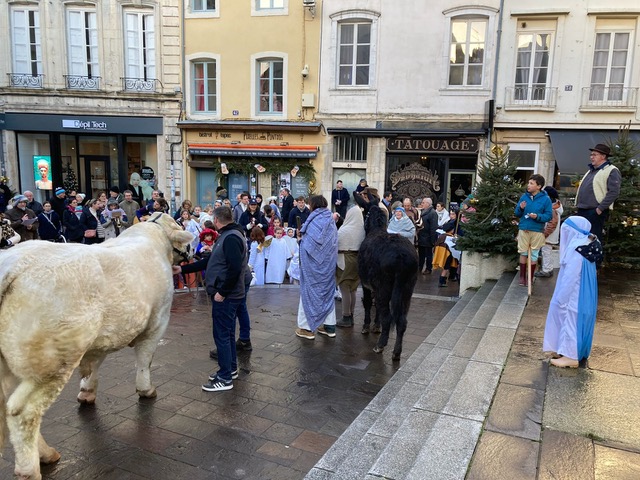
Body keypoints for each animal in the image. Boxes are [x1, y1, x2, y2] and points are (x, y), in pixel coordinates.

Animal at [0, 213, 192, 480]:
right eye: (180, 226)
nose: (190, 252)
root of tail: (14, 263)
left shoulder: (100, 338)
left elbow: (94, 365)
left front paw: (87, 391)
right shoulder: (158, 321)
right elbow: (145, 359)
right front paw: (146, 389)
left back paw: (46, 453)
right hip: (52, 363)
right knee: (24, 413)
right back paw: (31, 468)